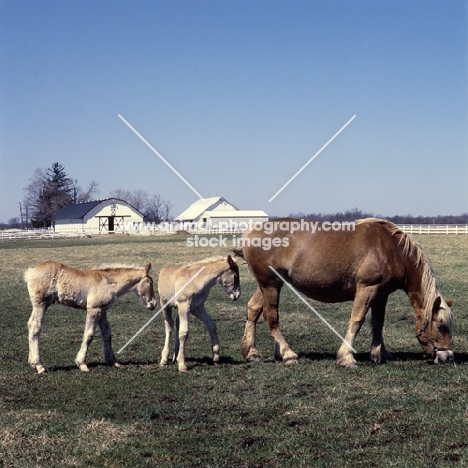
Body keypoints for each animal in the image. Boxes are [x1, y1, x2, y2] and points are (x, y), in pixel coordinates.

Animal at [234, 218, 454, 368]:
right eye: (440, 325)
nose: (449, 356)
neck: (391, 249)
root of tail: (251, 233)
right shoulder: (367, 289)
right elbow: (357, 321)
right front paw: (347, 357)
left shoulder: (381, 294)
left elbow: (378, 323)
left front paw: (379, 354)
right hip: (270, 284)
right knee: (271, 318)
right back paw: (288, 354)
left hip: (269, 285)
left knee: (253, 309)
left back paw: (252, 351)